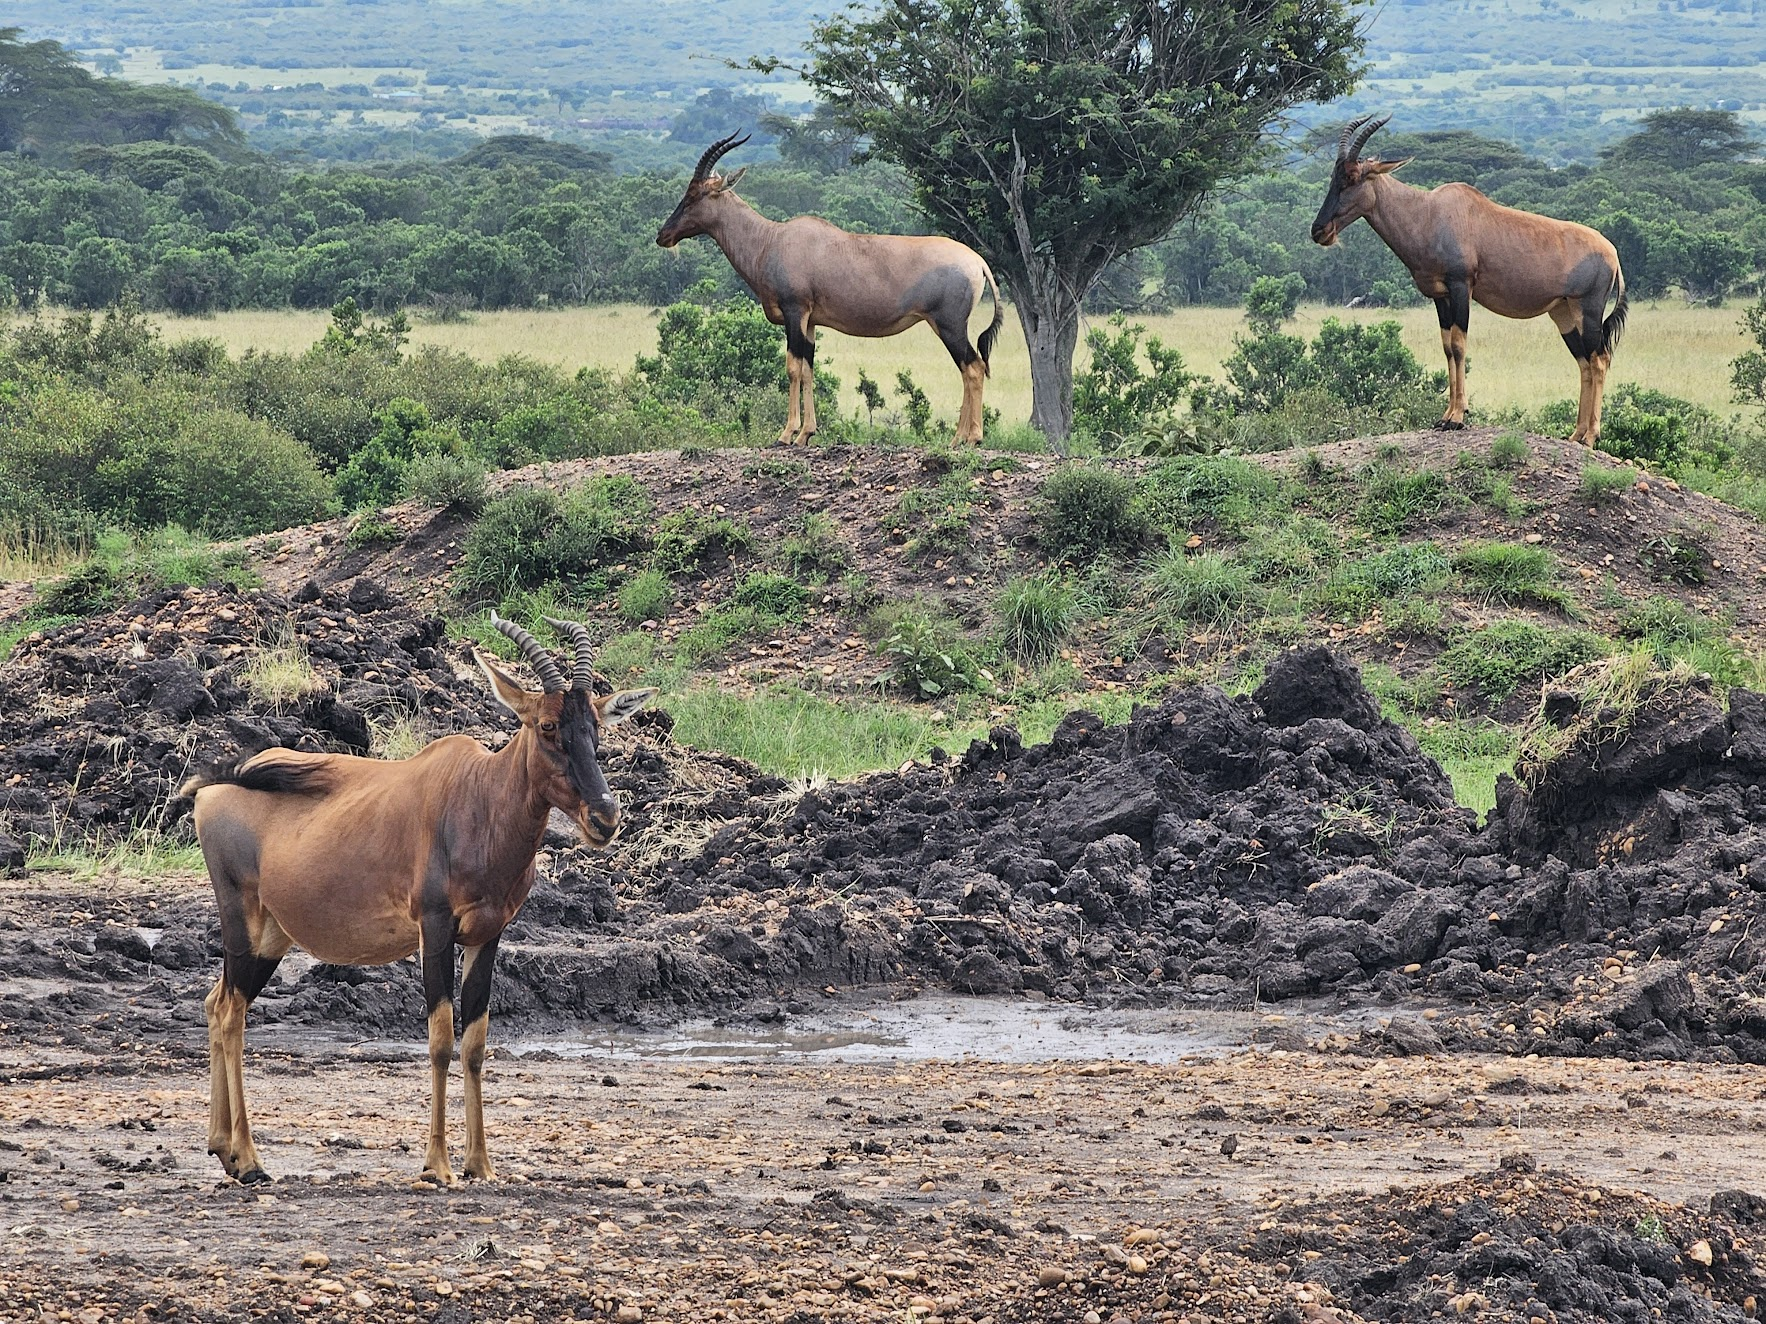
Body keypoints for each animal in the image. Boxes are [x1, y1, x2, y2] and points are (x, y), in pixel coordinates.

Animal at [186, 617, 656, 1186]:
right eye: (546, 725)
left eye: (596, 726)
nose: (604, 819)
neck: (476, 797)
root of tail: (217, 787)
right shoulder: (434, 929)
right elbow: (439, 1040)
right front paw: (437, 1166)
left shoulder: (487, 935)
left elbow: (474, 1043)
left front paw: (480, 1164)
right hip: (242, 919)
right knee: (231, 1011)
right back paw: (250, 1161)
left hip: (273, 936)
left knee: (216, 1002)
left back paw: (223, 1149)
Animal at [653, 133, 1010, 446]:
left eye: (694, 195)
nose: (662, 236)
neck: (772, 239)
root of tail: (977, 261)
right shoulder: (810, 322)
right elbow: (808, 371)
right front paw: (806, 434)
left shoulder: (795, 313)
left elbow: (792, 369)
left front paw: (785, 435)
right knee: (968, 369)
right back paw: (959, 438)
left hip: (949, 325)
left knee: (973, 368)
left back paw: (970, 438)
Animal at [1313, 115, 1624, 446]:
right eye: (1333, 176)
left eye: (1352, 177)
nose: (1319, 230)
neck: (1429, 213)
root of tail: (1612, 253)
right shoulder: (1440, 296)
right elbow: (1448, 348)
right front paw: (1445, 417)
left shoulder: (1462, 287)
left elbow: (1460, 345)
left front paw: (1458, 418)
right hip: (1564, 313)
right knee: (1584, 363)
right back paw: (1575, 434)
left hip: (1588, 309)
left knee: (1600, 360)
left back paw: (1590, 436)